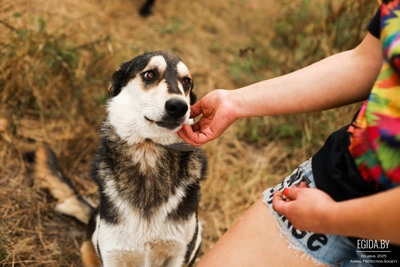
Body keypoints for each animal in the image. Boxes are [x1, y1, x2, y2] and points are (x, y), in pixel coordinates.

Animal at [27, 51, 208, 266]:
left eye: (187, 82)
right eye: (150, 74)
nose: (180, 106)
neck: (148, 151)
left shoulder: (180, 252)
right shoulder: (112, 253)